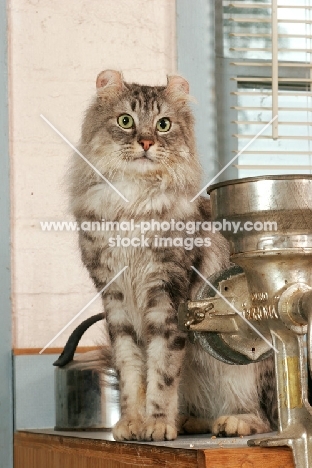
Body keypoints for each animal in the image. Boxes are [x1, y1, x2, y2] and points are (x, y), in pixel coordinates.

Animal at [69, 70, 276, 442]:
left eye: (163, 125)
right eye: (126, 120)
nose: (146, 142)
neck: (133, 204)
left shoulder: (167, 292)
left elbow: (162, 370)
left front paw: (156, 424)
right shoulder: (115, 298)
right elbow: (132, 370)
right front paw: (132, 424)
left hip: (250, 370)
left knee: (265, 419)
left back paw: (232, 422)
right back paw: (188, 421)